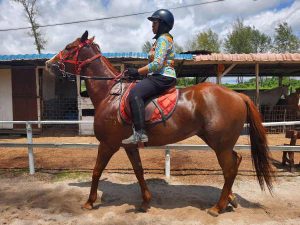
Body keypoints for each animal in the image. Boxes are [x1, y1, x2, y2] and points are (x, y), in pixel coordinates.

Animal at [45, 30, 274, 217]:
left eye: (69, 47)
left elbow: (96, 171)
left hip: (220, 144)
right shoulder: (129, 146)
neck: (110, 93)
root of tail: (238, 96)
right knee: (235, 162)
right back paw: (229, 199)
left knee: (229, 169)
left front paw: (90, 202)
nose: (49, 64)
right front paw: (145, 202)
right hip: (219, 143)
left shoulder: (108, 144)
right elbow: (139, 171)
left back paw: (218, 207)